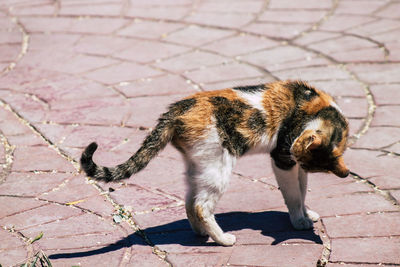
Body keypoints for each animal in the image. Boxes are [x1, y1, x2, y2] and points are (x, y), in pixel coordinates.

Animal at [81, 81, 350, 247]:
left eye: (310, 166)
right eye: (291, 149)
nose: (293, 152)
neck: (318, 111)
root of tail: (174, 111)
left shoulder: (295, 165)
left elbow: (302, 191)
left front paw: (308, 213)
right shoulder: (282, 159)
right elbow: (293, 195)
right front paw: (299, 221)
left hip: (199, 166)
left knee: (189, 200)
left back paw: (201, 232)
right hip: (218, 167)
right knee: (201, 205)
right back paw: (222, 239)